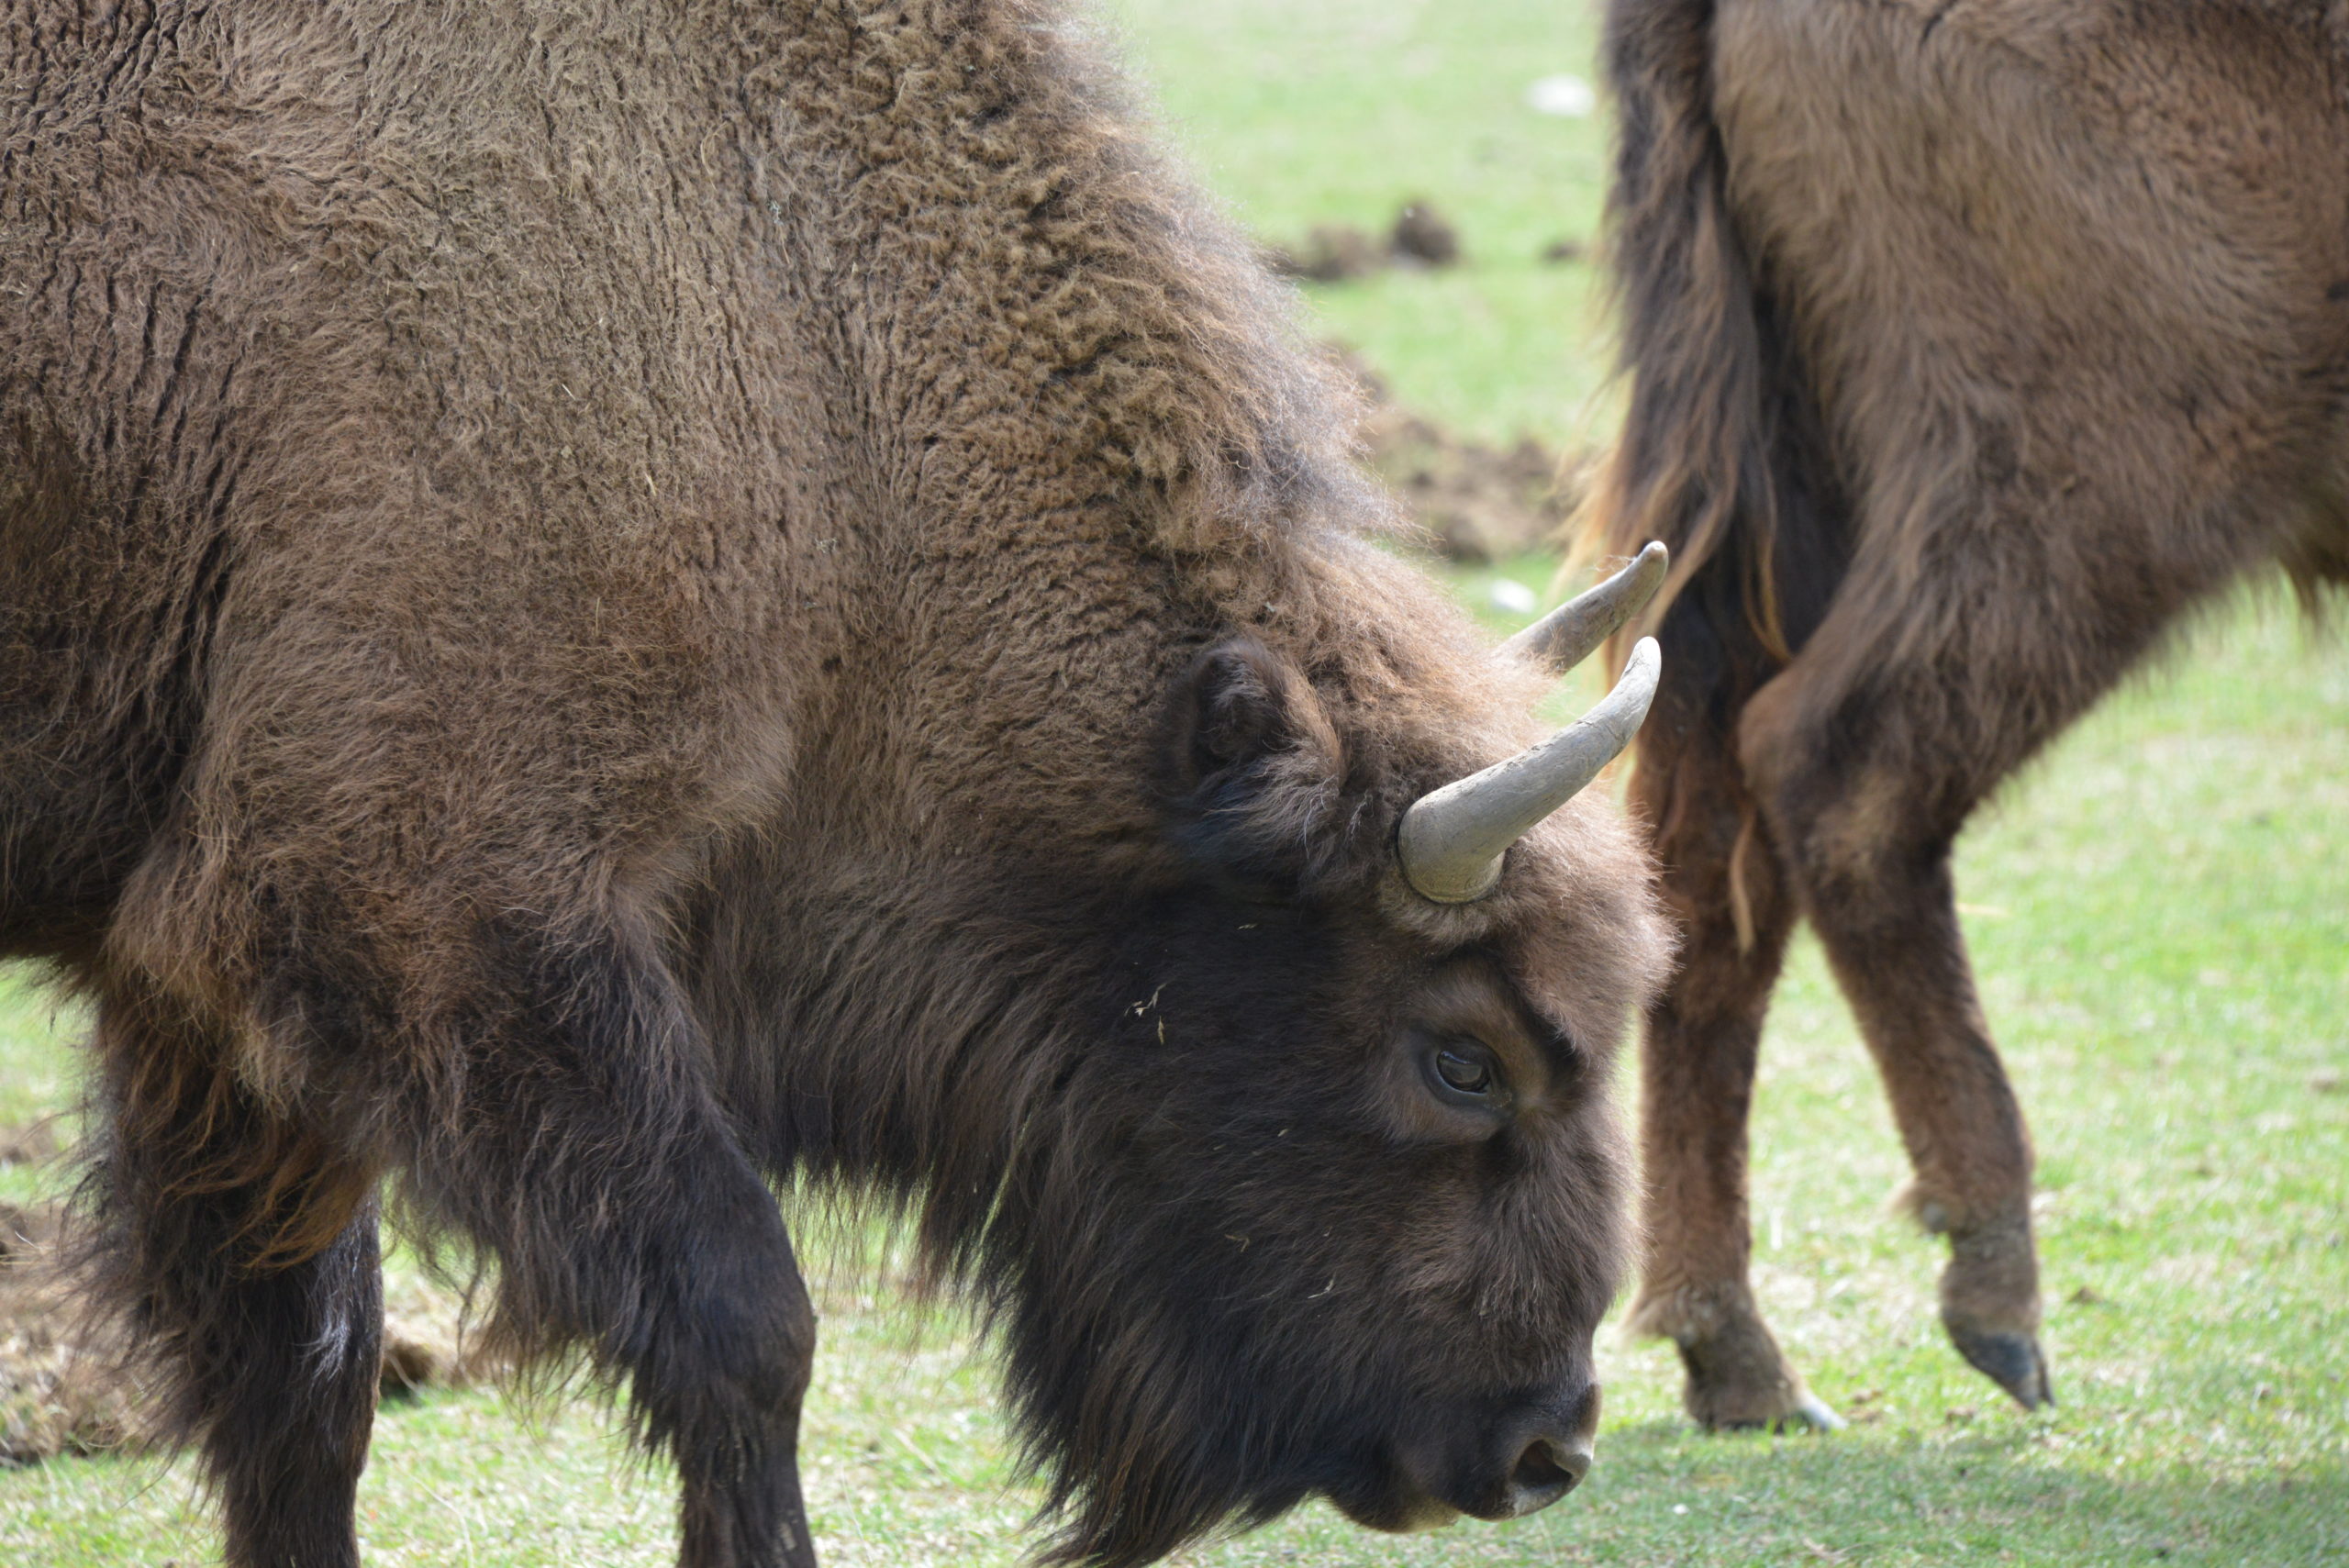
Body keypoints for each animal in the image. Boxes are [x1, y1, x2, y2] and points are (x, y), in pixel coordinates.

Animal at [5, 3, 1691, 1568]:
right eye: (1462, 1056)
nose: (1545, 1443)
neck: (813, 340)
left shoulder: (209, 1004)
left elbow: (308, 1378)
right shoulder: (426, 906)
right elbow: (746, 1316)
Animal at [1587, 0, 2349, 1436]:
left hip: (1806, 469)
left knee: (1707, 836)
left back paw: (1739, 1357)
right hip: (2100, 484)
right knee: (1838, 773)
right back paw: (1994, 1290)